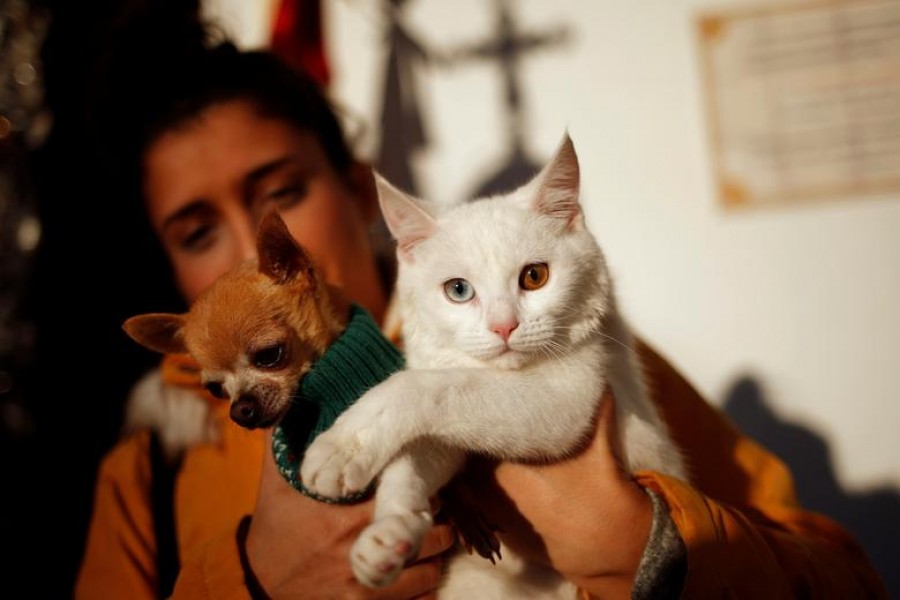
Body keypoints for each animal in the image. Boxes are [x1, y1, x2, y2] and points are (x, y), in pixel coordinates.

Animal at [298, 134, 684, 596]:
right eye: (458, 290)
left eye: (535, 276)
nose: (505, 326)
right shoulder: (448, 436)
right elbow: (411, 460)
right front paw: (388, 532)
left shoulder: (568, 396)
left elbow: (430, 387)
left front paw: (340, 446)